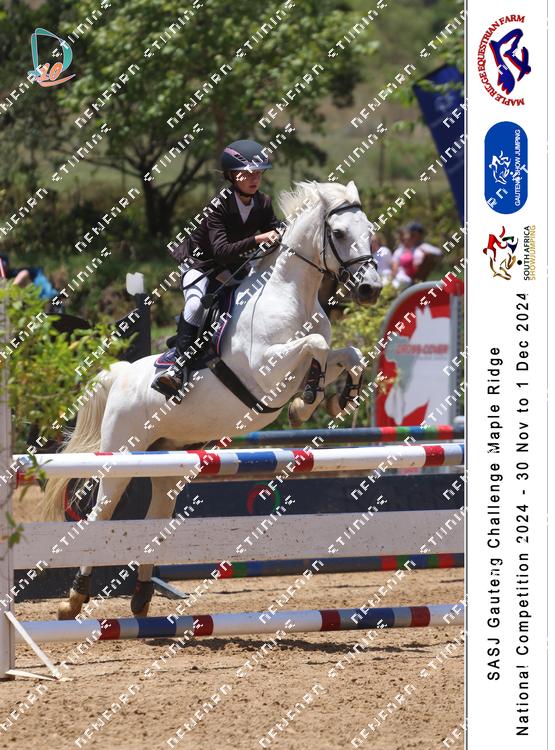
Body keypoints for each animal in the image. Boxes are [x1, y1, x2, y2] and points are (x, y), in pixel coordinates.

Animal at [41, 180, 383, 619]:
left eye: (370, 230)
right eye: (338, 233)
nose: (370, 289)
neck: (293, 295)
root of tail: (118, 374)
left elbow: (345, 353)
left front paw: (341, 396)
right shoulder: (266, 368)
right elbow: (317, 345)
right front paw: (306, 402)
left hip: (168, 461)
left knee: (155, 516)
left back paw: (141, 597)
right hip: (122, 452)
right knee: (101, 514)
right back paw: (74, 599)